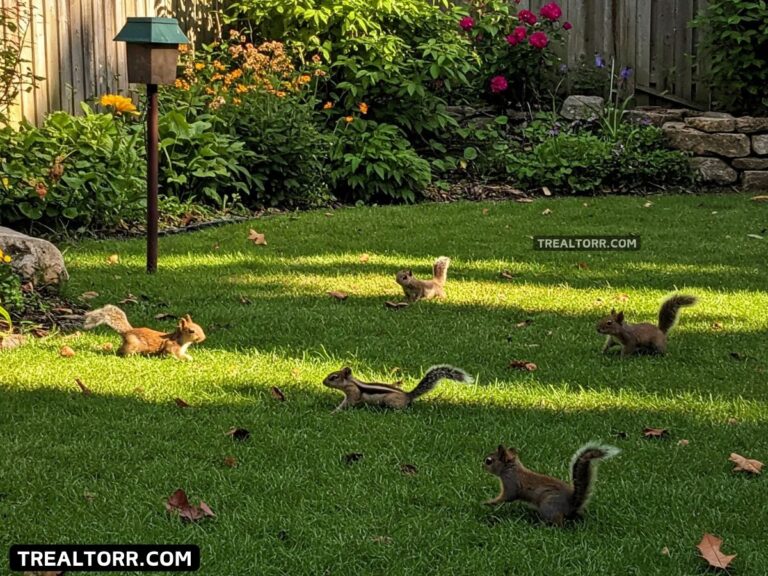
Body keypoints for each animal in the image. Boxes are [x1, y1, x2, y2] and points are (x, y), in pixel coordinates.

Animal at [323, 364, 473, 412]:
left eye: (333, 377)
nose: (323, 382)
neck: (352, 383)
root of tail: (408, 395)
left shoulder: (353, 394)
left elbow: (347, 404)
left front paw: (334, 411)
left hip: (390, 400)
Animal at [483, 443, 620, 526]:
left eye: (489, 461)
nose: (482, 464)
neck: (511, 469)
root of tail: (572, 505)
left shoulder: (511, 484)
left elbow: (507, 497)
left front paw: (489, 502)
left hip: (549, 505)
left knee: (558, 523)